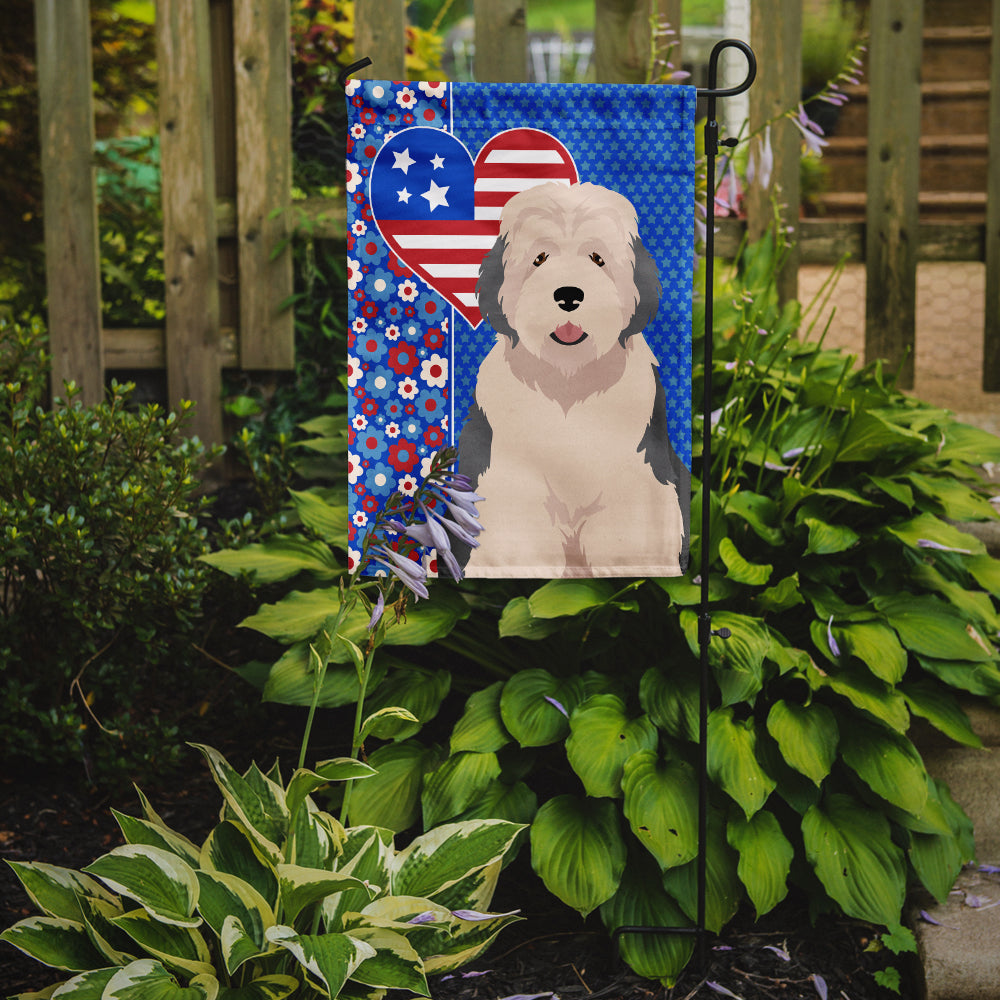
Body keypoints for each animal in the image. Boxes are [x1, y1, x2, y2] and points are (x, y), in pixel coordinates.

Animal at [458, 181, 688, 580]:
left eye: (597, 258)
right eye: (540, 258)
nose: (568, 295)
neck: (568, 379)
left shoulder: (637, 467)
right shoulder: (509, 473)